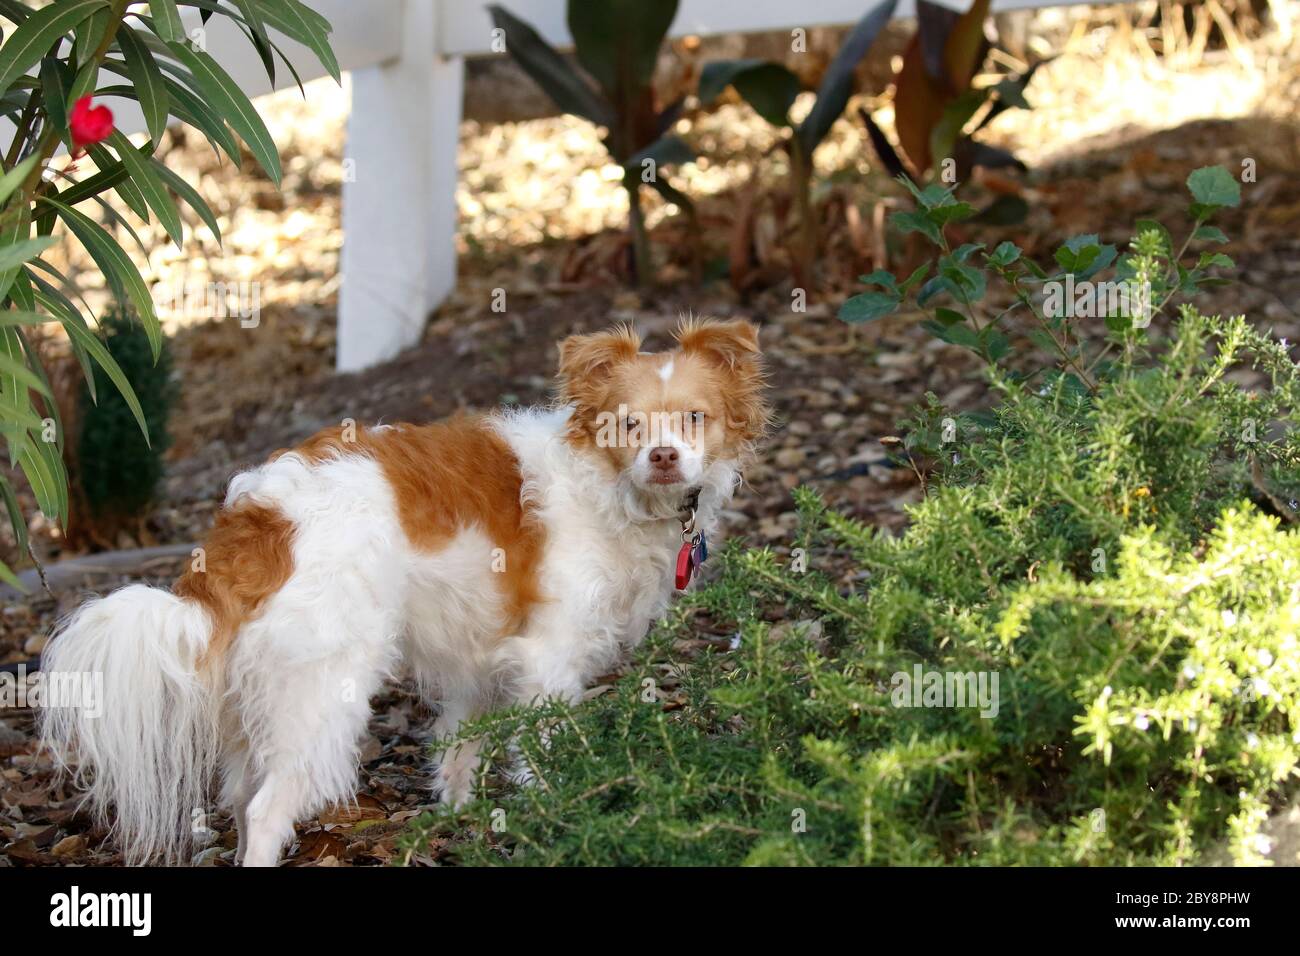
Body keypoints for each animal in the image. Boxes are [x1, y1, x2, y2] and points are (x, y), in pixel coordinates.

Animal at [40, 319, 764, 868]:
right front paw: (561, 815)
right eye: (626, 427)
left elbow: (460, 747)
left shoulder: (481, 661)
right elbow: (543, 752)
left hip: (261, 701)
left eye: (693, 419)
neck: (612, 488)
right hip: (321, 695)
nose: (664, 458)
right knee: (268, 807)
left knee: (243, 797)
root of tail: (261, 519)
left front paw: (462, 819)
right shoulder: (547, 661)